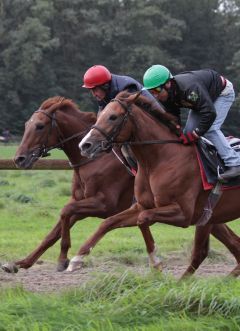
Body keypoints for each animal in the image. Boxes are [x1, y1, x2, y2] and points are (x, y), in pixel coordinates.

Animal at [79, 91, 240, 278]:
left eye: (113, 117)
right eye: (100, 115)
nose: (85, 145)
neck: (160, 159)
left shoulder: (184, 214)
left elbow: (143, 219)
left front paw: (156, 264)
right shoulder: (142, 205)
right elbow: (109, 222)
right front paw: (77, 258)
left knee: (202, 252)